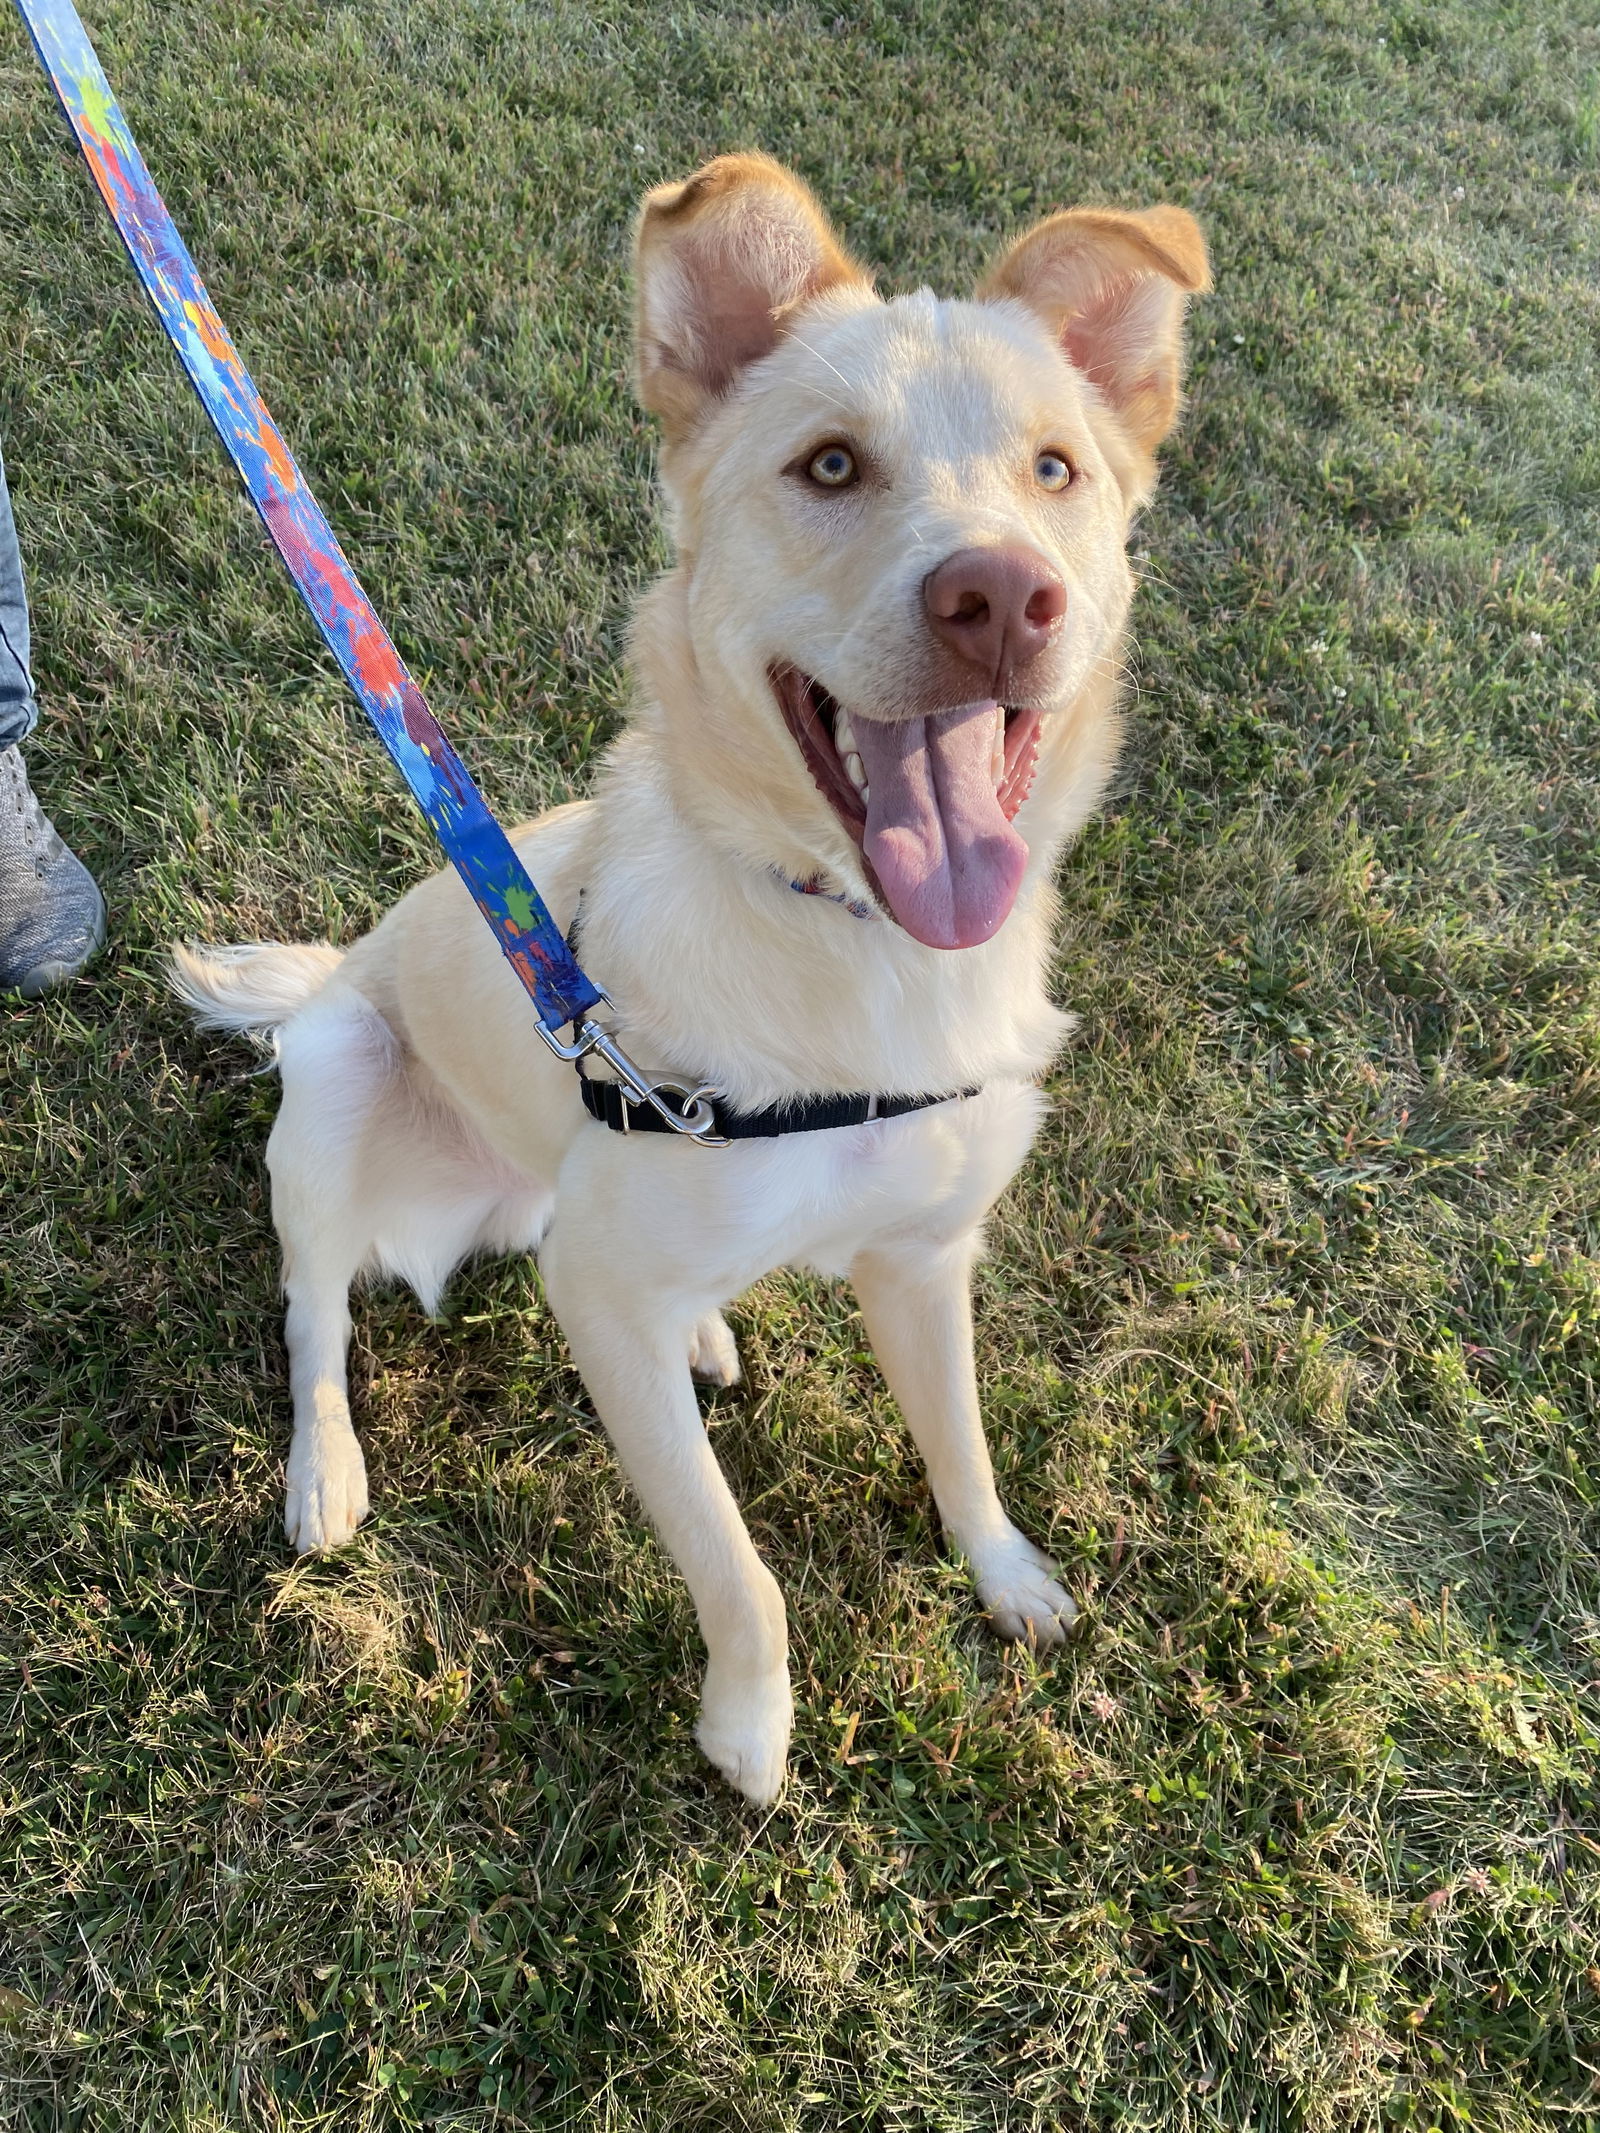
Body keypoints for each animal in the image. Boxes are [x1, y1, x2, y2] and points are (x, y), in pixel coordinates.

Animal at [172, 154, 1203, 1800]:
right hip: (337, 1078)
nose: (1001, 597)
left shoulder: (925, 1258)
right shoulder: (607, 1313)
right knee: (313, 1308)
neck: (859, 958)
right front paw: (749, 1732)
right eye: (831, 467)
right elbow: (739, 1565)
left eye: (1056, 470)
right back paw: (325, 1468)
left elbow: (964, 1443)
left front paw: (1006, 1574)